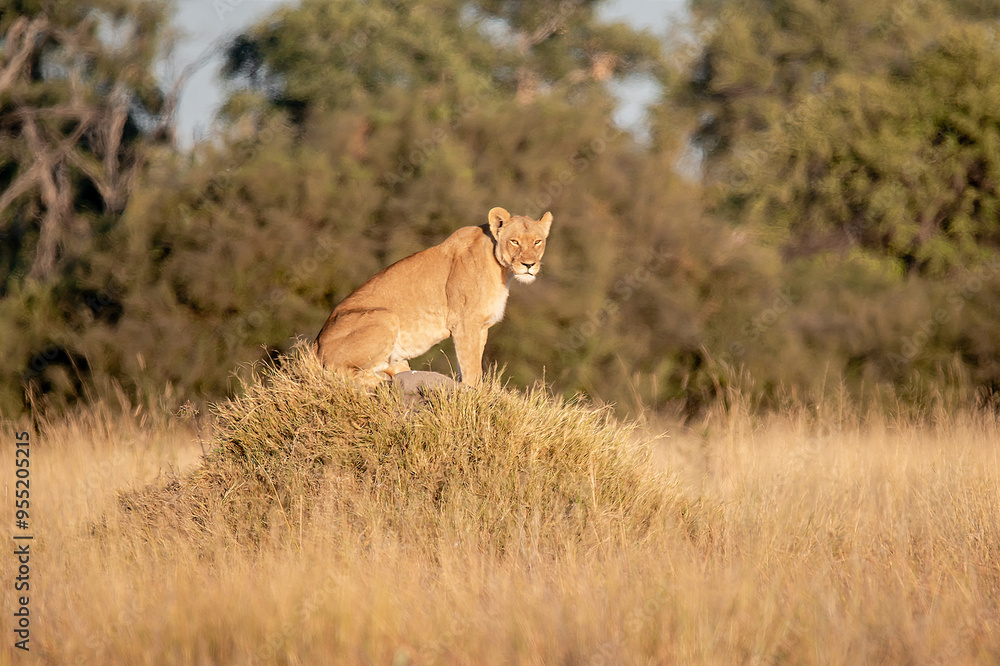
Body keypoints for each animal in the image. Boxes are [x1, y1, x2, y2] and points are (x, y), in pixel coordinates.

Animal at [314, 206, 553, 385]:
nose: (529, 265)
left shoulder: (481, 327)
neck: (503, 271)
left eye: (537, 242)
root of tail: (315, 344)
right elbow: (471, 369)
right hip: (385, 317)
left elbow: (468, 364)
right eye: (514, 241)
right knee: (340, 373)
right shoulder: (465, 323)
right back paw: (380, 381)